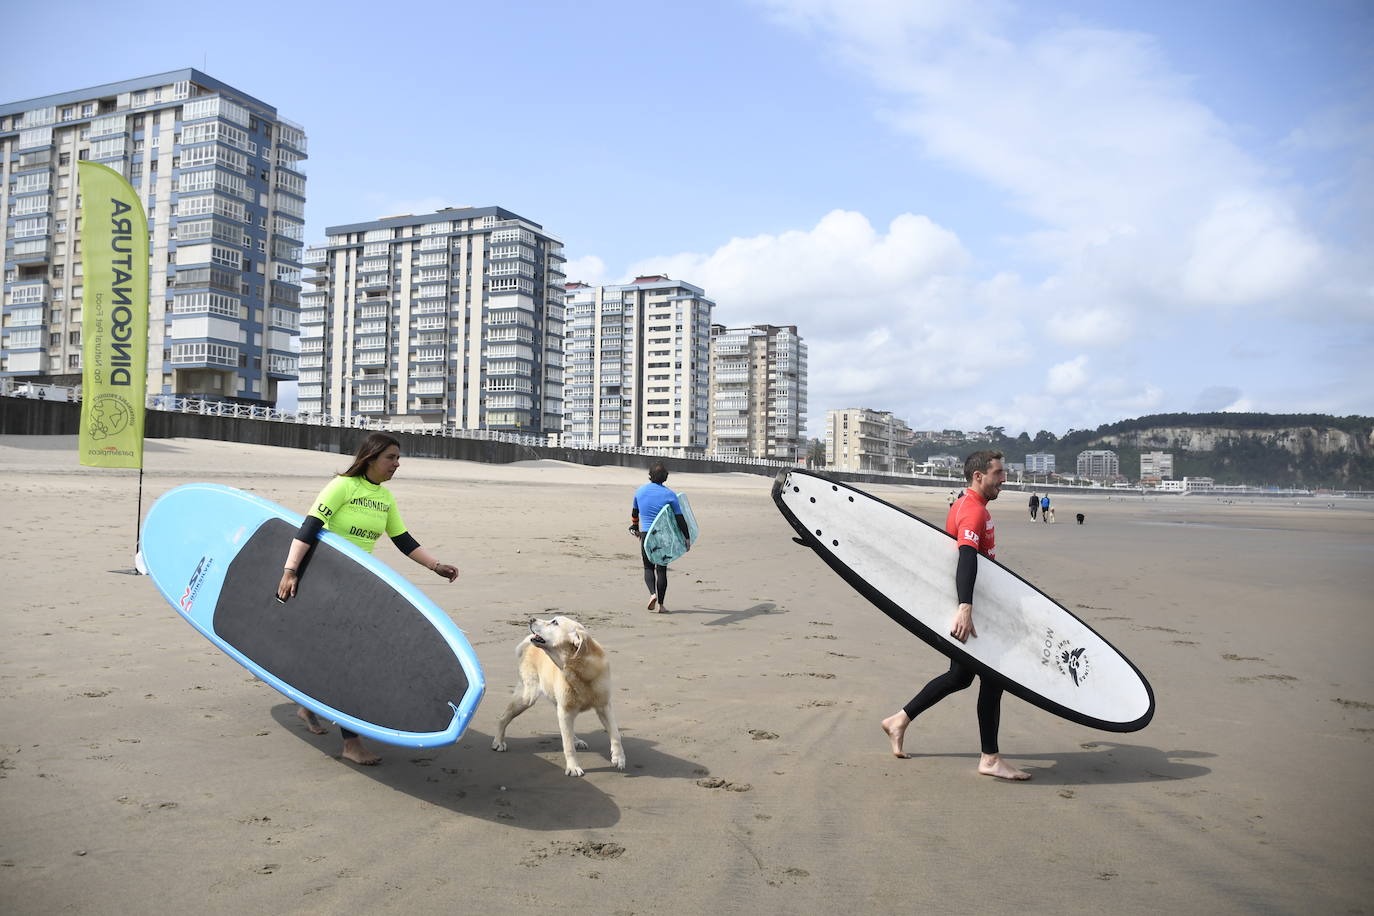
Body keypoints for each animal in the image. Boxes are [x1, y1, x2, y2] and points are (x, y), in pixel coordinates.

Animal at [491, 620, 626, 780]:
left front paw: (619, 758)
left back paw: (577, 740)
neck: (579, 670)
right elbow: (568, 746)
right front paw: (573, 767)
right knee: (503, 717)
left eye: (554, 622)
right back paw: (498, 742)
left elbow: (616, 734)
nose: (531, 619)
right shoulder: (566, 711)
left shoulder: (604, 706)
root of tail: (528, 645)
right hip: (528, 696)